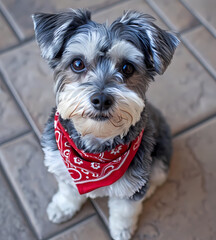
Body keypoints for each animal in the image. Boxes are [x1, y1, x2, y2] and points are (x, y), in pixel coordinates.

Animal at [32, 9, 179, 240]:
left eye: (127, 67)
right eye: (77, 63)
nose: (101, 99)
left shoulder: (132, 184)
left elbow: (125, 209)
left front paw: (122, 229)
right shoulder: (62, 164)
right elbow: (68, 190)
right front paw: (63, 207)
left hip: (161, 155)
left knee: (156, 177)